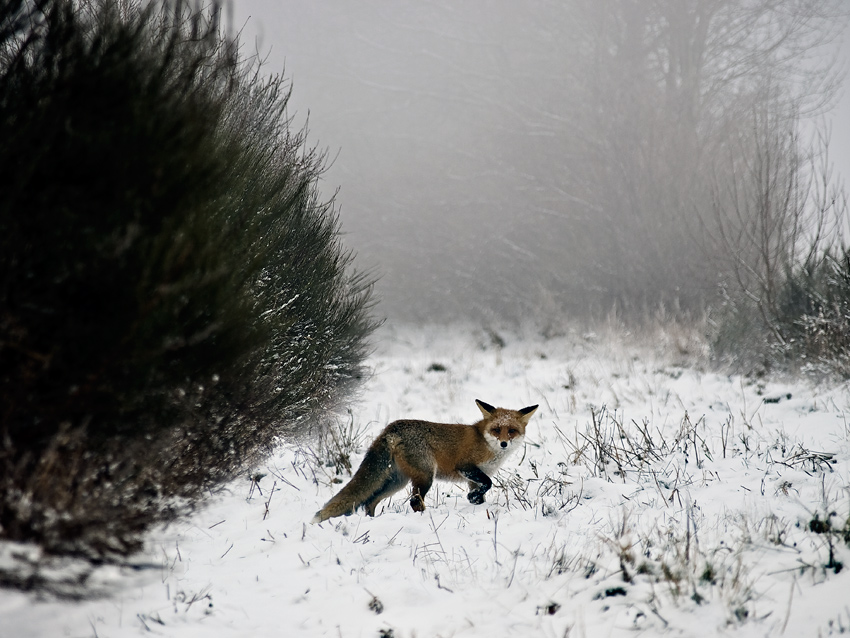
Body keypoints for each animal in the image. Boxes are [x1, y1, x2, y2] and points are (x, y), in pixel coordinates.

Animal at [312, 402, 536, 524]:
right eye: (497, 430)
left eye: (512, 431)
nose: (504, 443)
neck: (484, 441)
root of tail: (390, 429)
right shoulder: (466, 467)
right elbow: (488, 483)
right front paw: (472, 499)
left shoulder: (475, 478)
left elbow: (482, 493)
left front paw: (476, 504)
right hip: (426, 476)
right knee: (413, 502)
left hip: (397, 481)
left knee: (370, 501)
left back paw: (372, 521)